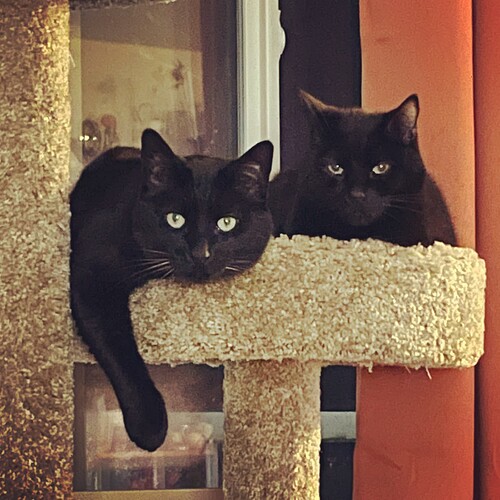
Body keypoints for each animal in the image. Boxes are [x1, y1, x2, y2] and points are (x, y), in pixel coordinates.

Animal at [70, 129, 274, 451]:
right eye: (175, 219)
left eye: (227, 223)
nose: (200, 253)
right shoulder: (90, 277)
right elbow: (120, 352)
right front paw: (149, 427)